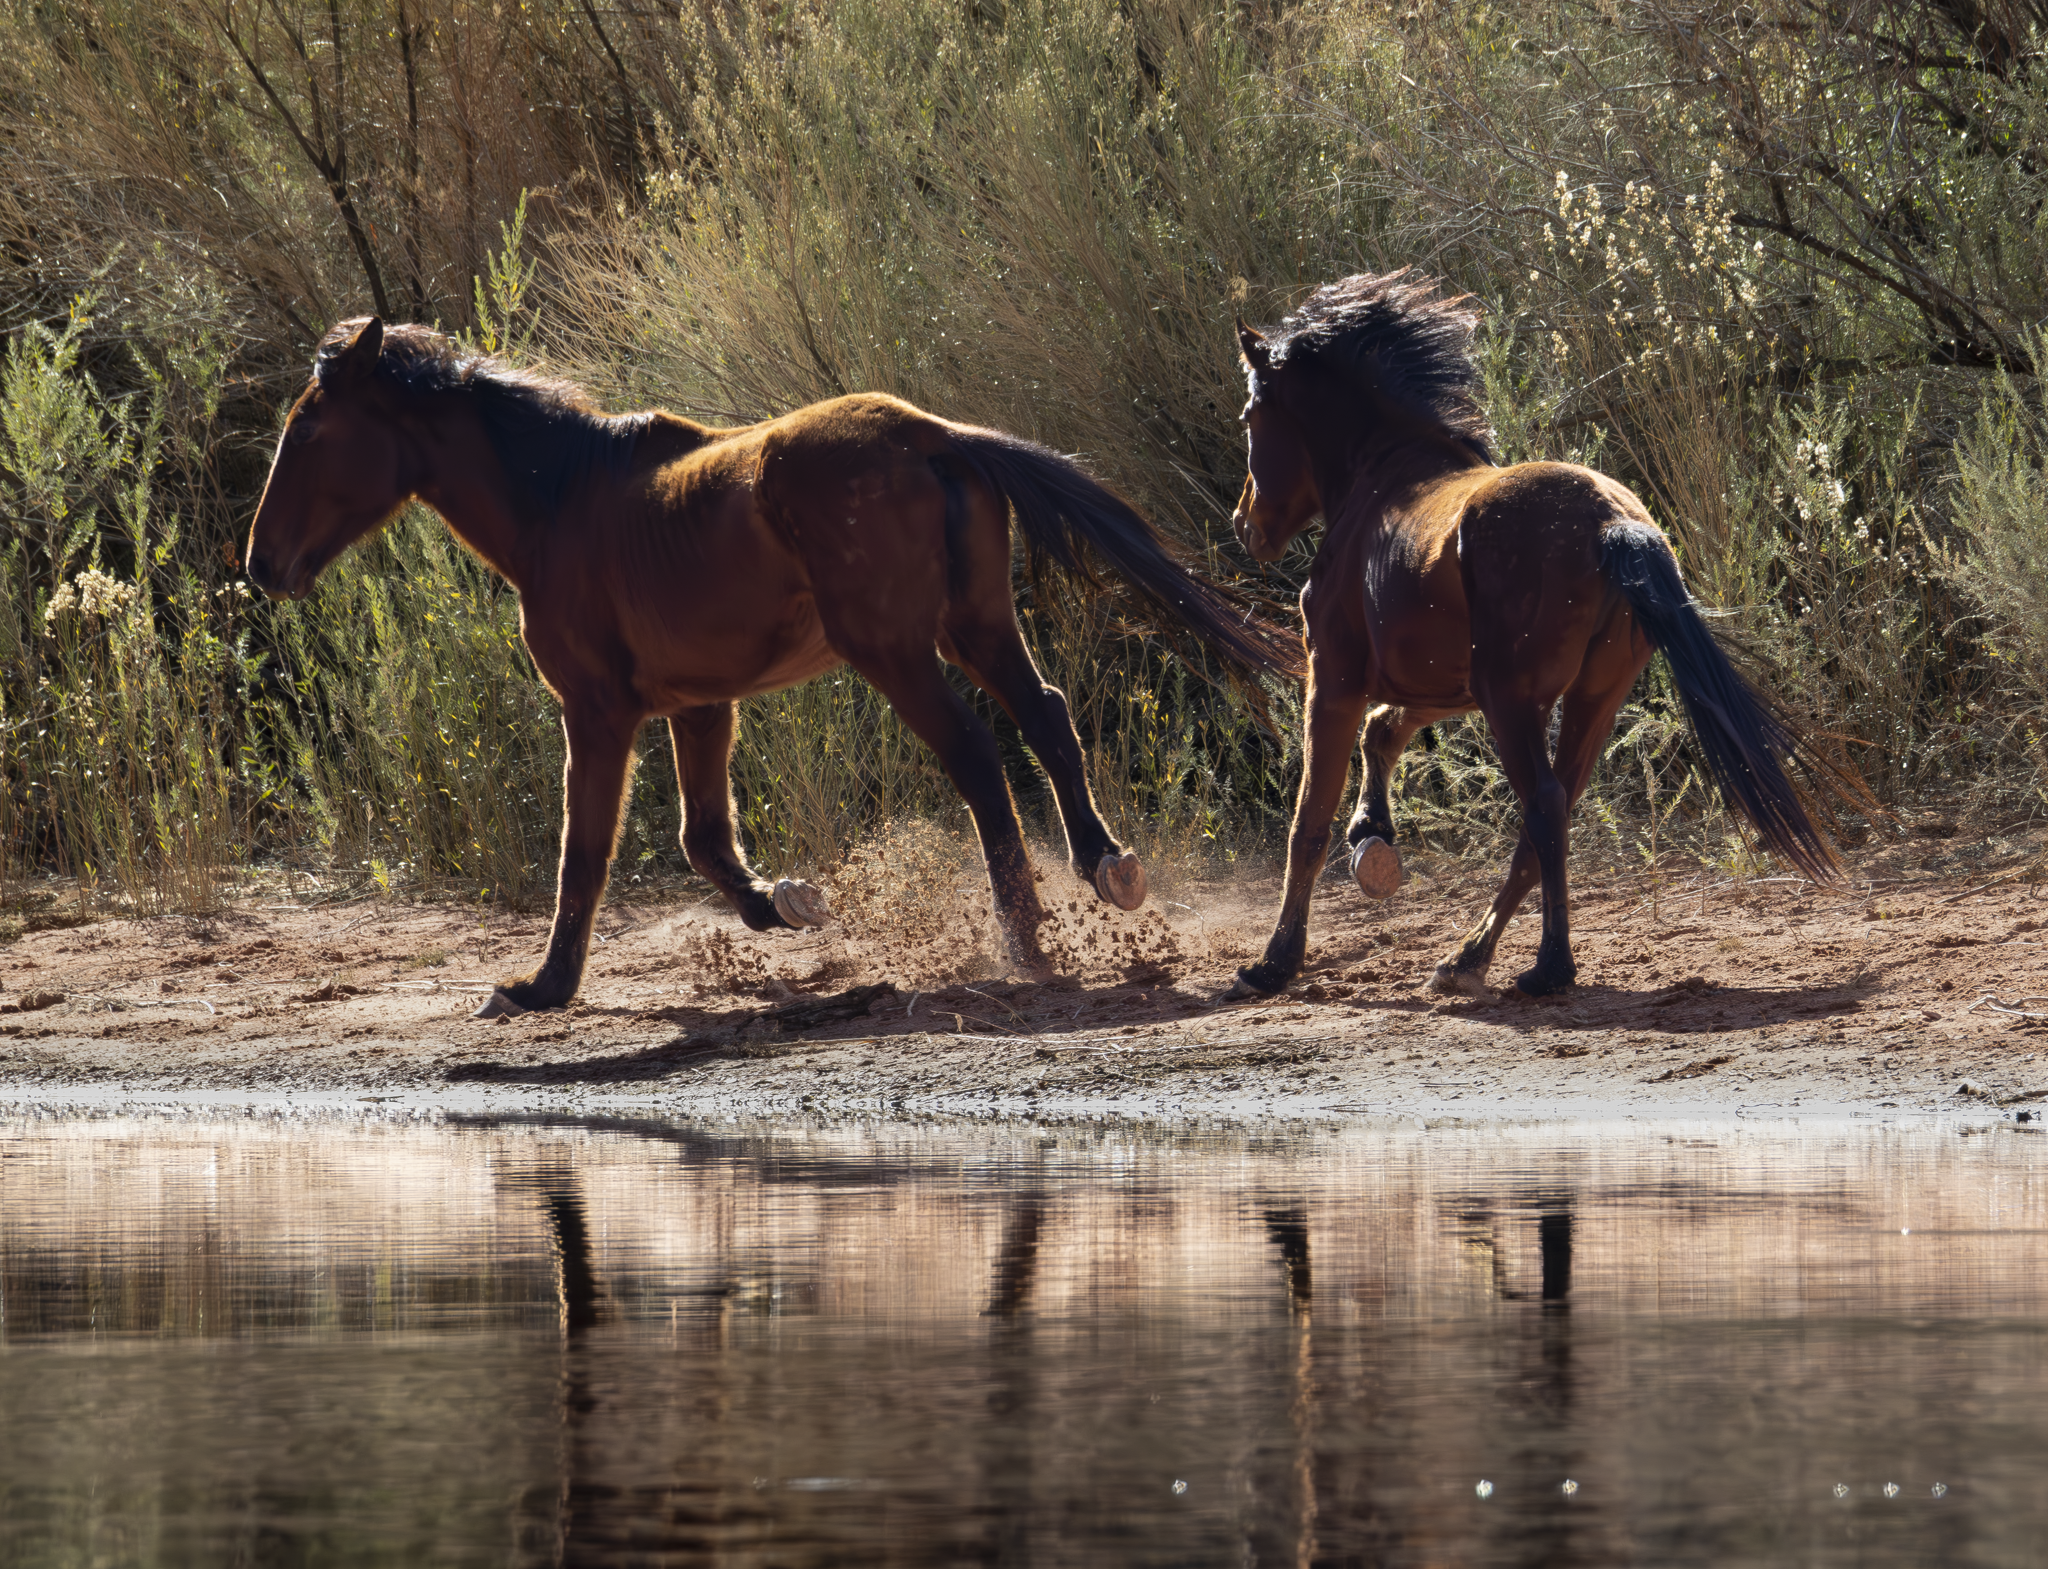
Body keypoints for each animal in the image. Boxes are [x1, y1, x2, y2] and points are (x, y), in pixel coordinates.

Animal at [246, 317, 1302, 1018]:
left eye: (310, 430)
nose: (261, 563)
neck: (562, 504)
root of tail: (934, 435)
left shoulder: (596, 710)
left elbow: (586, 849)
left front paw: (540, 987)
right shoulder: (700, 706)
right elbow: (703, 838)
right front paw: (789, 904)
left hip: (895, 650)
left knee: (975, 754)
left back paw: (1026, 941)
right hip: (973, 625)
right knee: (1042, 716)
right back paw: (1105, 870)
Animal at [1226, 272, 1845, 1000]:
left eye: (1251, 417)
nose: (1244, 525)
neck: (1380, 480)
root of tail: (1612, 522)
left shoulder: (1335, 677)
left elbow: (1309, 820)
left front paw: (1274, 962)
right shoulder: (1440, 684)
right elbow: (1384, 731)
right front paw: (1372, 830)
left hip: (1514, 700)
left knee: (1545, 807)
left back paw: (1548, 965)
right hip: (1587, 700)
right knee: (1551, 814)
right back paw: (1468, 957)